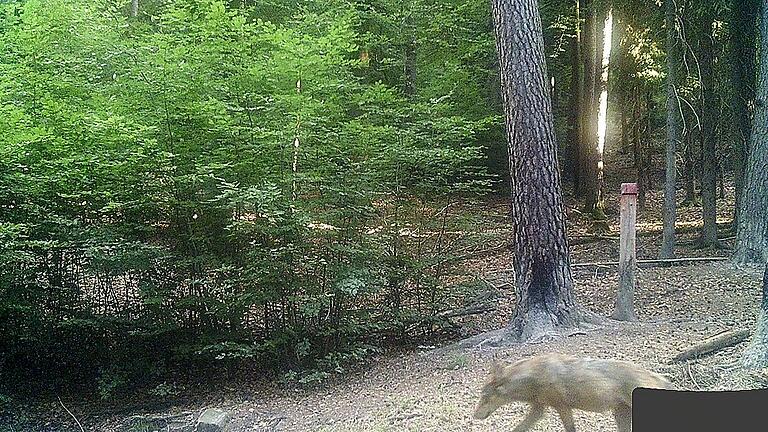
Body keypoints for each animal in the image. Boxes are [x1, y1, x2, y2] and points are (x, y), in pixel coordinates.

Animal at [474, 352, 672, 430]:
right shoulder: (539, 409)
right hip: (621, 415)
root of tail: (660, 378)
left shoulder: (562, 407)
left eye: (484, 397)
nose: (474, 416)